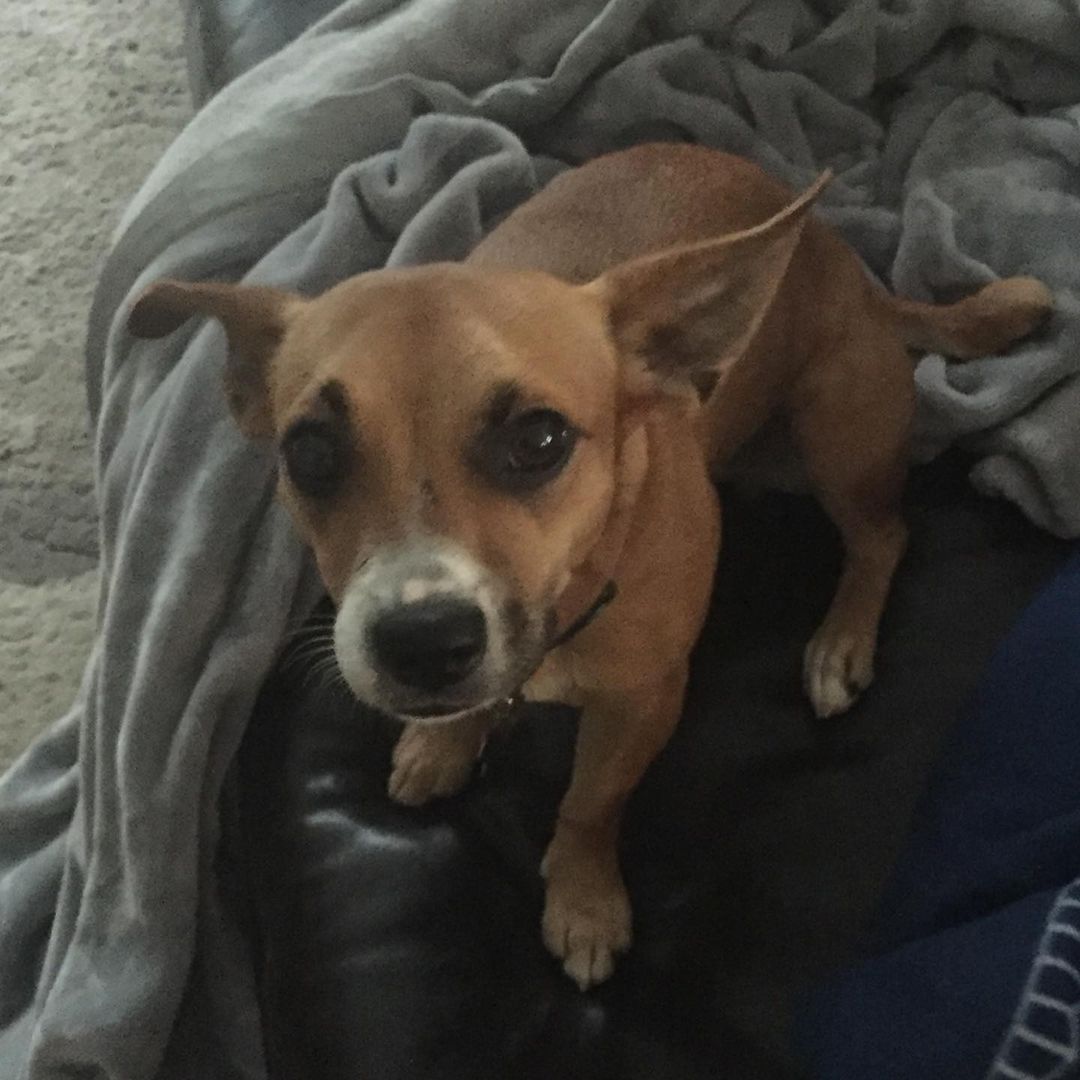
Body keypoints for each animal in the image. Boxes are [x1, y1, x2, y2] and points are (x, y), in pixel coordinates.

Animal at [124, 141, 1045, 989]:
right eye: (309, 453)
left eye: (540, 439)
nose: (420, 642)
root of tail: (854, 271)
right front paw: (443, 745)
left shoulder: (643, 703)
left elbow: (590, 805)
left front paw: (584, 902)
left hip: (836, 433)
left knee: (883, 539)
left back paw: (840, 643)